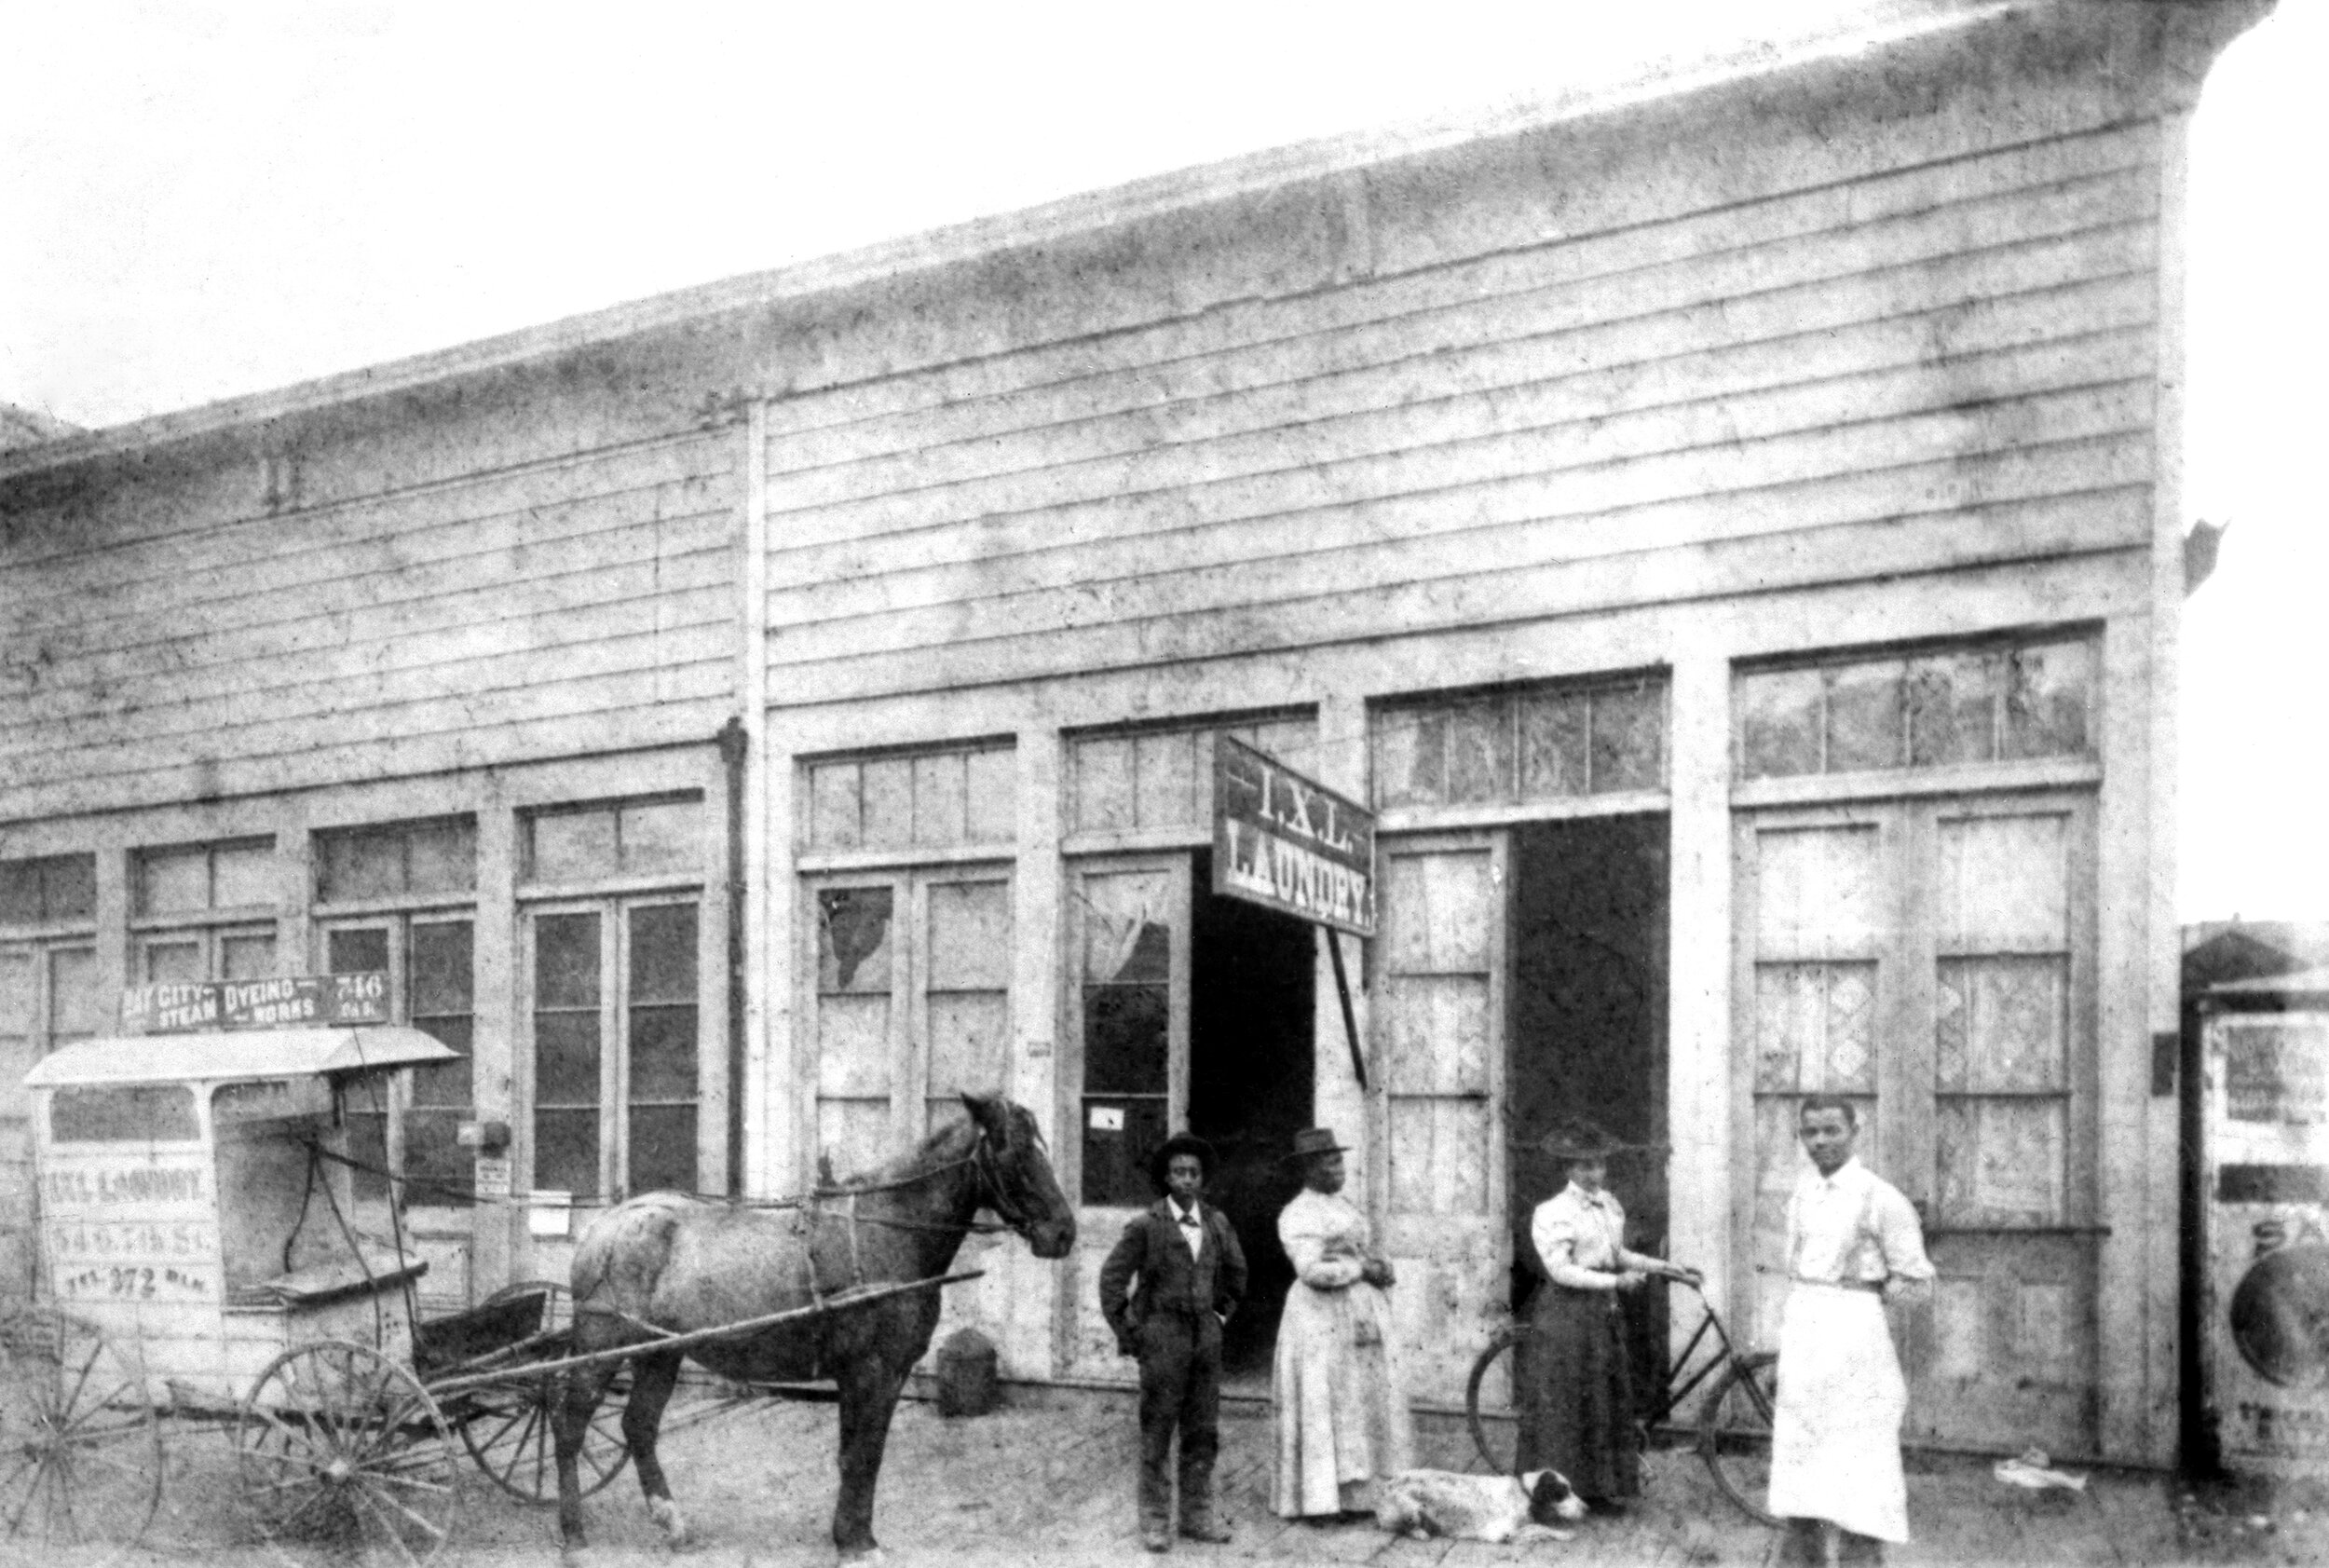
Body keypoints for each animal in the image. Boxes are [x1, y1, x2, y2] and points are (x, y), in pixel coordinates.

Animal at [554, 1095, 1071, 1556]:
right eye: (1013, 1151)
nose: (1064, 1233)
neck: (886, 1232)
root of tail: (607, 1224)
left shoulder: (885, 1373)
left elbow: (859, 1455)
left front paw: (854, 1536)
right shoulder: (870, 1370)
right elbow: (863, 1454)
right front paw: (857, 1544)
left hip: (660, 1351)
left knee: (638, 1425)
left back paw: (671, 1522)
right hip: (601, 1348)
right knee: (570, 1425)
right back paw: (573, 1532)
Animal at [1369, 1472, 1593, 1537]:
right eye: (1561, 1493)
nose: (1587, 1508)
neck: (1522, 1493)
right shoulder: (1504, 1532)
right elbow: (1540, 1528)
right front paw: (1566, 1535)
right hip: (1413, 1510)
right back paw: (1422, 1532)